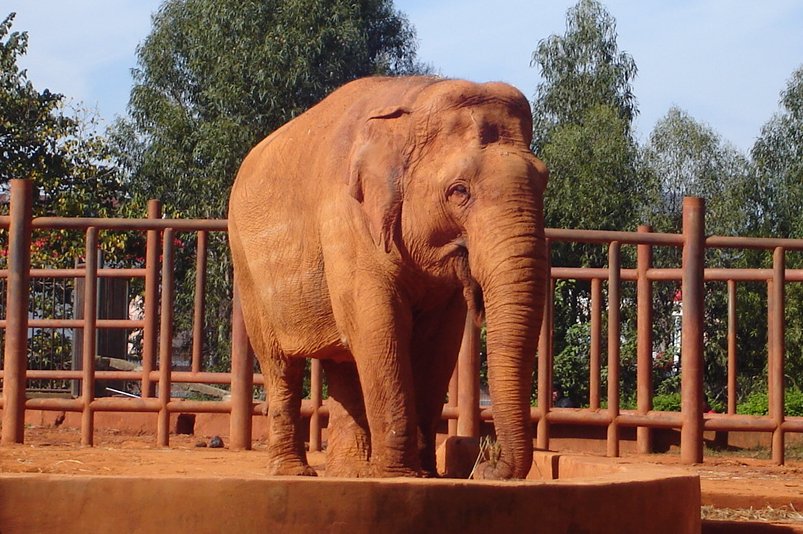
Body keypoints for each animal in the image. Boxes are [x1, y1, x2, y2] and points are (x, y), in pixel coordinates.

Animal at [229, 76, 548, 482]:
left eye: (544, 181)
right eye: (459, 190)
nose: (486, 467)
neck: (416, 98)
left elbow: (440, 342)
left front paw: (426, 474)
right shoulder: (348, 221)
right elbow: (379, 324)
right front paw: (401, 474)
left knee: (343, 362)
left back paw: (350, 472)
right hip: (247, 268)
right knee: (280, 364)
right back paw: (295, 472)